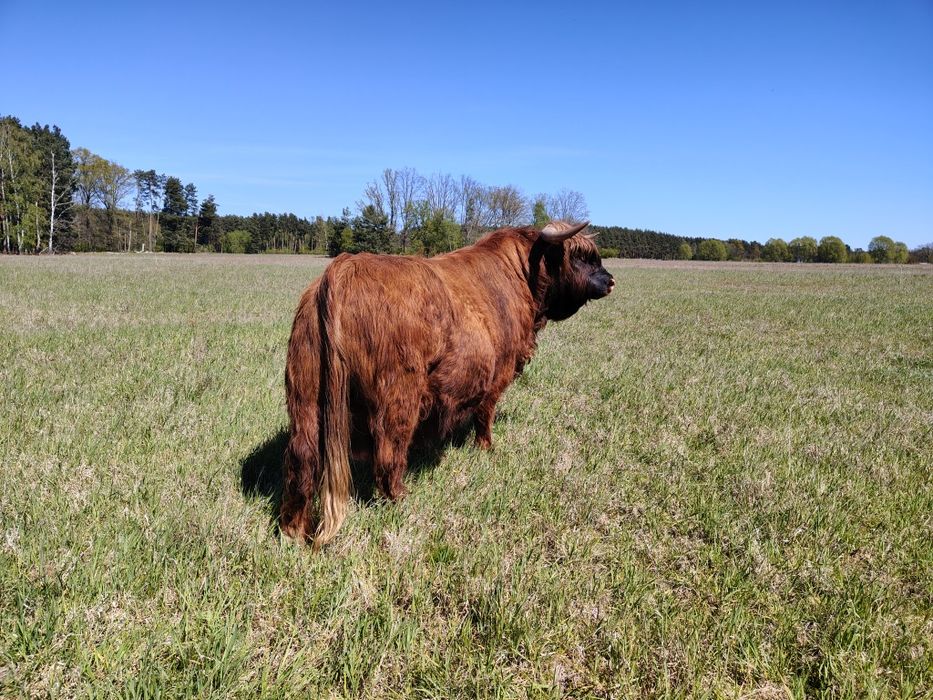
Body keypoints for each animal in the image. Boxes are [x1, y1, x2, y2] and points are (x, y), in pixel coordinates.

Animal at [281, 220, 614, 547]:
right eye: (580, 257)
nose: (610, 281)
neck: (521, 274)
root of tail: (343, 268)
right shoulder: (498, 371)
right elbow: (484, 415)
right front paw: (486, 448)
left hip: (305, 393)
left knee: (302, 457)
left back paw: (294, 528)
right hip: (399, 394)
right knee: (389, 452)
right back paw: (401, 499)